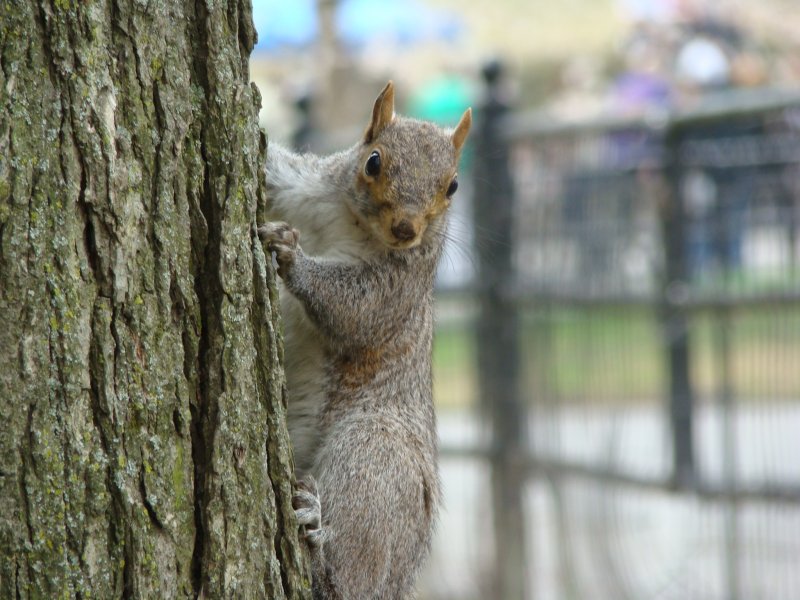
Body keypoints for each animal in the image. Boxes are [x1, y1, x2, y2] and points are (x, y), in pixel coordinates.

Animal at [258, 81, 468, 600]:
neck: (354, 223)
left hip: (375, 453)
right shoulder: (308, 189)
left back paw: (317, 533)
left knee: (348, 575)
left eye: (452, 186)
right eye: (373, 161)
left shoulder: (399, 286)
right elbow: (277, 176)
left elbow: (356, 311)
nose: (406, 229)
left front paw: (292, 257)